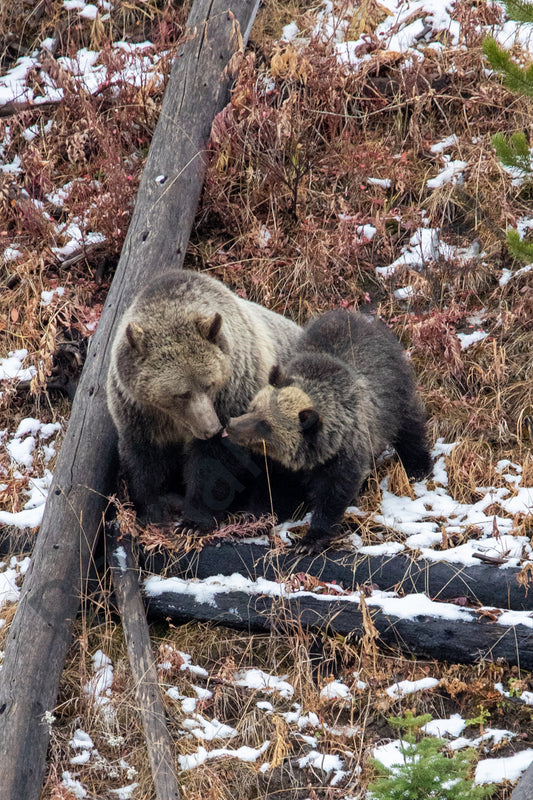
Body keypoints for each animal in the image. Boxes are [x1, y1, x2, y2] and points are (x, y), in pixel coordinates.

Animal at [107, 272, 304, 528]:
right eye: (181, 393)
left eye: (209, 384)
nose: (212, 428)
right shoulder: (138, 412)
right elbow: (143, 459)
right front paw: (153, 511)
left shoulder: (235, 393)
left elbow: (216, 462)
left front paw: (194, 519)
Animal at [224, 310, 432, 552]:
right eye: (254, 407)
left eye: (265, 424)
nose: (231, 425)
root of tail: (359, 316)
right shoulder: (282, 466)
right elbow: (273, 491)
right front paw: (249, 521)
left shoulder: (344, 454)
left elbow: (333, 495)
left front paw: (310, 539)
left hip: (393, 395)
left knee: (409, 426)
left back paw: (418, 466)